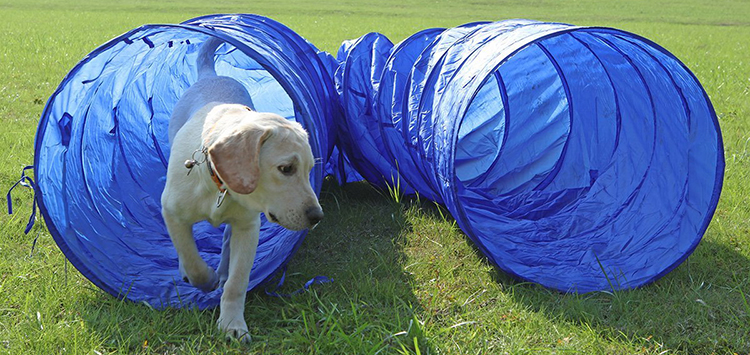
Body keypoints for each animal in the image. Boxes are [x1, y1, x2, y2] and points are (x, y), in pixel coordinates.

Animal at [162, 38, 324, 342]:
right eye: (286, 169)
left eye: (310, 170)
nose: (317, 217)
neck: (219, 184)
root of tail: (211, 75)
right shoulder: (171, 211)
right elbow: (189, 255)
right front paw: (204, 279)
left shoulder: (248, 228)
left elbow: (237, 281)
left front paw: (232, 325)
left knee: (226, 241)